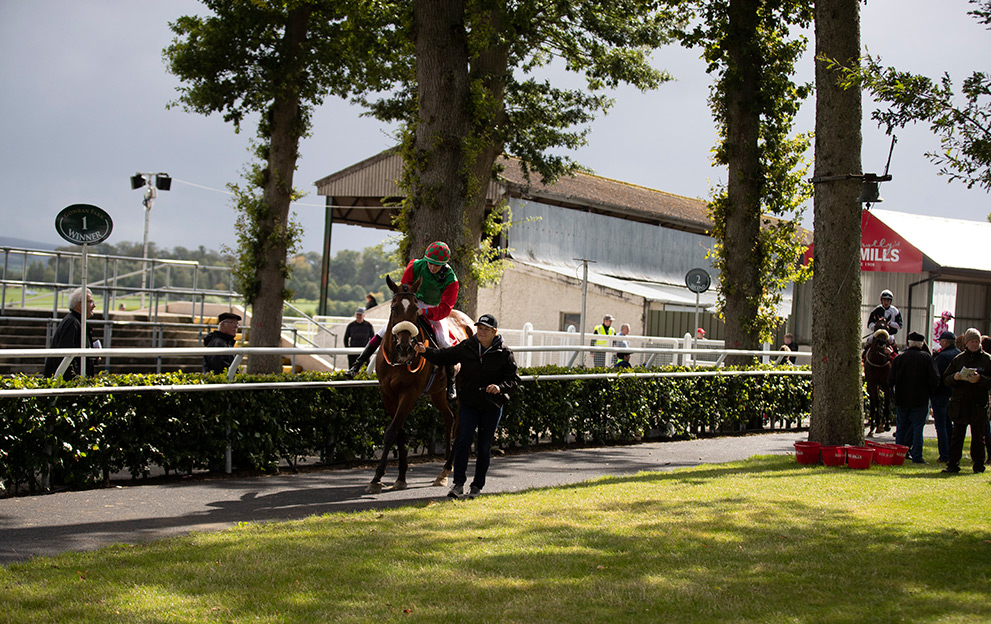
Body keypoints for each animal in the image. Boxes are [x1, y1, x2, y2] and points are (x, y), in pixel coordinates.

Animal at [366, 272, 474, 492]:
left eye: (416, 310)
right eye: (393, 308)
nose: (405, 346)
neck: (399, 361)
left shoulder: (410, 393)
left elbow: (391, 431)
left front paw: (377, 477)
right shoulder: (387, 393)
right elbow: (399, 432)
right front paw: (400, 476)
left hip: (462, 390)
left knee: (460, 426)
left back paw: (446, 469)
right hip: (437, 392)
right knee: (449, 418)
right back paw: (445, 470)